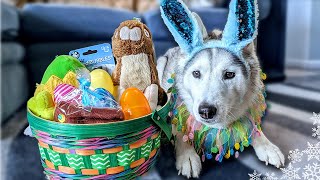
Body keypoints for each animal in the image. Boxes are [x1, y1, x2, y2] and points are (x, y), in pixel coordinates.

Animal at [156, 0, 284, 178]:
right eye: (196, 73)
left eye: (229, 74)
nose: (206, 111)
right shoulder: (177, 110)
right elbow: (180, 129)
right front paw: (187, 155)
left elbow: (254, 126)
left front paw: (267, 146)